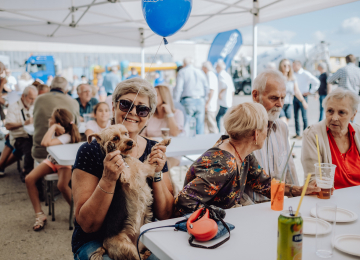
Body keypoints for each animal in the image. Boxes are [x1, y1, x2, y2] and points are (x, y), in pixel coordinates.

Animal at [88, 124, 170, 260]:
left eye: (126, 133)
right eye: (115, 138)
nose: (131, 142)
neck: (126, 158)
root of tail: (104, 246)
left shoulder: (147, 169)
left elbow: (152, 152)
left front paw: (163, 142)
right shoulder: (124, 176)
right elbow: (121, 167)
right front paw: (111, 148)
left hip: (139, 244)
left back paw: (147, 253)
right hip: (128, 247)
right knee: (137, 257)